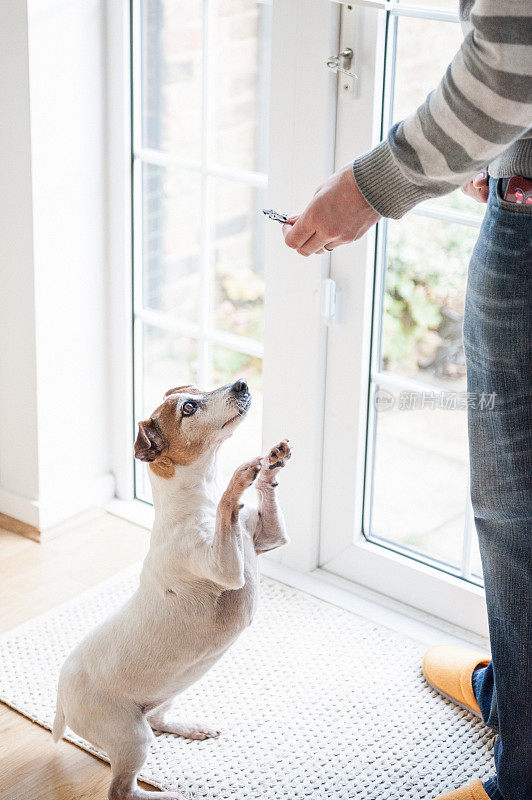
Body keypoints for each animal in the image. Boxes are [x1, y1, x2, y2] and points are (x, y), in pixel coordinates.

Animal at [54, 382, 290, 800]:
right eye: (189, 408)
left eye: (197, 390)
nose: (242, 384)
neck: (198, 503)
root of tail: (61, 698)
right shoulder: (225, 568)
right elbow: (229, 505)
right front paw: (239, 479)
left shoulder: (269, 538)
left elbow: (263, 504)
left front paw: (271, 464)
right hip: (131, 737)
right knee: (121, 790)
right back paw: (168, 795)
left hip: (169, 692)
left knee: (158, 720)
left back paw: (189, 728)